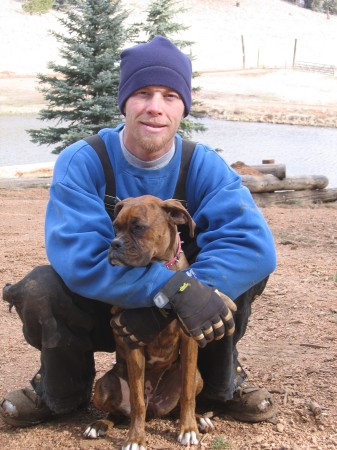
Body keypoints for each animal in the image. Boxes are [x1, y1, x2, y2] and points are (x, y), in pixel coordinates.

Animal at [84, 196, 213, 450]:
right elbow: (137, 402)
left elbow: (187, 394)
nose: (114, 244)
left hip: (197, 378)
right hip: (102, 387)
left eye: (138, 227)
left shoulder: (189, 342)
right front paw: (135, 438)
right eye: (115, 227)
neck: (160, 267)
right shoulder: (133, 343)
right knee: (119, 412)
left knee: (178, 404)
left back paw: (200, 419)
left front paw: (189, 428)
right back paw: (99, 424)